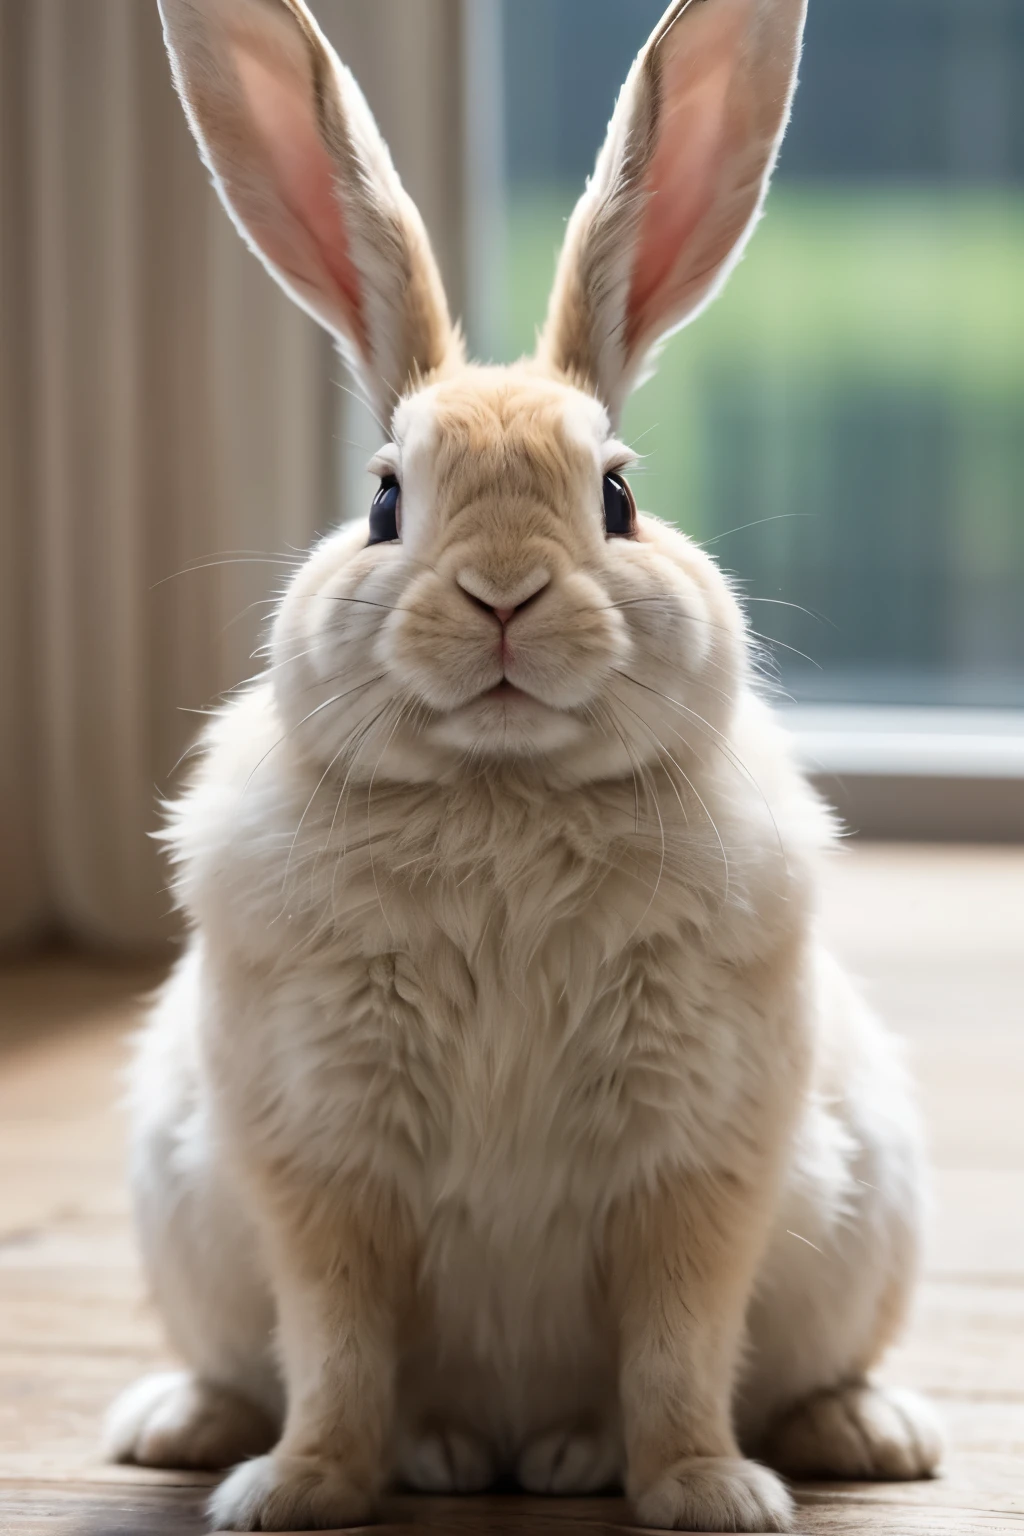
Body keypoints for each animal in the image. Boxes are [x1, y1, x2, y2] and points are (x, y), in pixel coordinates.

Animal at [105, 0, 945, 1529]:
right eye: (387, 500)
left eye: (615, 496)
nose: (503, 594)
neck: (500, 797)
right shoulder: (317, 1160)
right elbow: (335, 1339)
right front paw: (299, 1489)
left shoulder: (697, 1160)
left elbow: (679, 1339)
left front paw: (706, 1493)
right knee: (251, 1364)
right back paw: (207, 1429)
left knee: (799, 1372)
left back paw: (844, 1436)